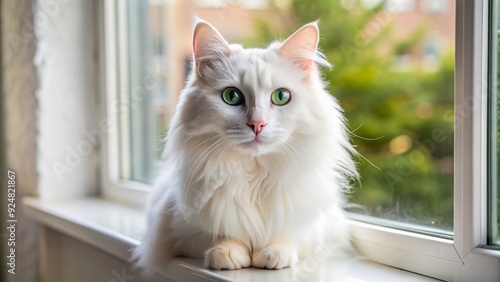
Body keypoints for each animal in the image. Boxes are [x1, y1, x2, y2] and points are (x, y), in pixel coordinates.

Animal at [134, 19, 360, 274]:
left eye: (281, 97)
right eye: (231, 96)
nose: (257, 124)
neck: (255, 175)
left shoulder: (319, 227)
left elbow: (289, 235)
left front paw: (273, 252)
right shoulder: (175, 228)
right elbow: (220, 233)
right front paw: (227, 253)